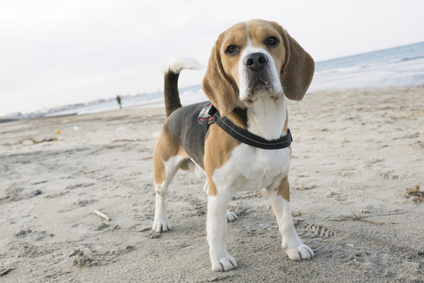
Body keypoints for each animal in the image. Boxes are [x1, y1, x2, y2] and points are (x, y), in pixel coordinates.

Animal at [152, 18, 314, 272]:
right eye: (231, 49)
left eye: (272, 40)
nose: (255, 60)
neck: (262, 127)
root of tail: (175, 111)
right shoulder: (220, 185)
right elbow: (216, 229)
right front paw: (219, 258)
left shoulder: (280, 183)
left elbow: (286, 220)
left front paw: (294, 247)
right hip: (165, 169)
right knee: (161, 195)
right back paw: (160, 221)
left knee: (207, 192)